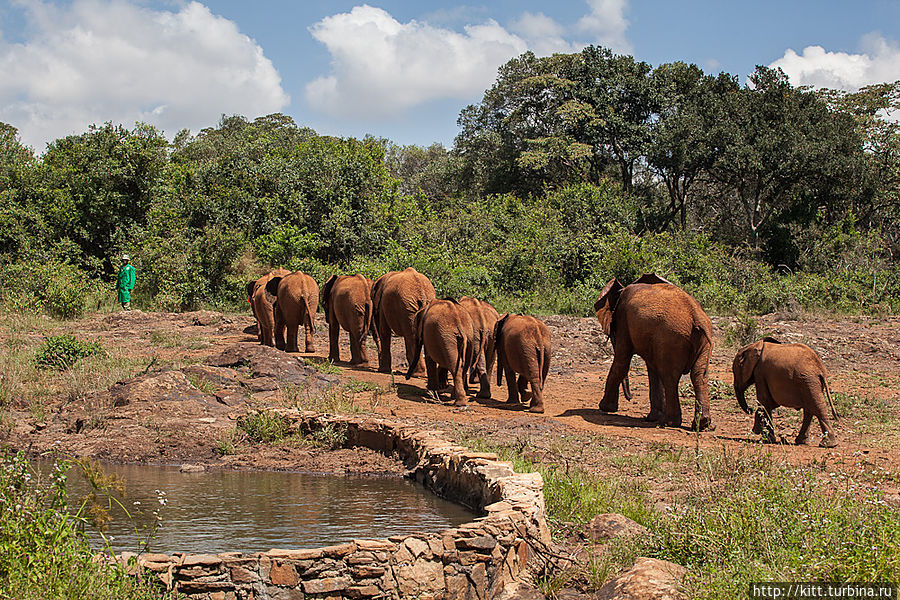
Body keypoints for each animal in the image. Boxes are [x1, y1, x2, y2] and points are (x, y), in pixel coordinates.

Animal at [596, 272, 712, 432]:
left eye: (612, 326)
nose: (630, 398)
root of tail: (696, 316)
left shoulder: (623, 320)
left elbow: (622, 362)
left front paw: (605, 407)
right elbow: (652, 369)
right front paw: (652, 417)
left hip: (671, 337)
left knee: (670, 377)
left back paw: (669, 422)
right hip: (700, 342)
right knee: (699, 375)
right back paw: (702, 424)